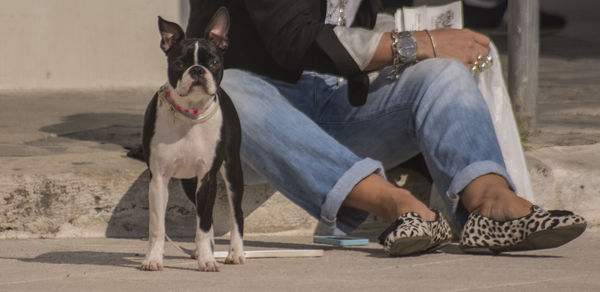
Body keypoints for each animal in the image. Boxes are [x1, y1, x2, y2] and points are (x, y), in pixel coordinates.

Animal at [141, 7, 244, 272]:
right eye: (179, 63)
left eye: (214, 62)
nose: (197, 70)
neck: (190, 114)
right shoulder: (158, 179)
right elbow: (157, 227)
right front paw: (153, 259)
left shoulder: (207, 178)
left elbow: (205, 225)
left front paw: (207, 261)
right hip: (189, 182)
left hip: (232, 171)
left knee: (235, 214)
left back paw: (235, 253)